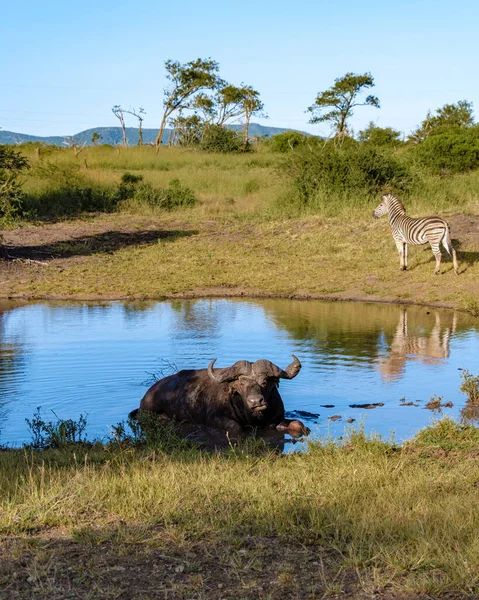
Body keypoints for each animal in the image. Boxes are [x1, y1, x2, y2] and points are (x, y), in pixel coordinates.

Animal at [130, 356, 312, 436]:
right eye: (241, 383)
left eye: (265, 381)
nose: (256, 401)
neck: (254, 417)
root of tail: (146, 395)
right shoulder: (216, 419)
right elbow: (236, 428)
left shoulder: (276, 419)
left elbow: (297, 423)